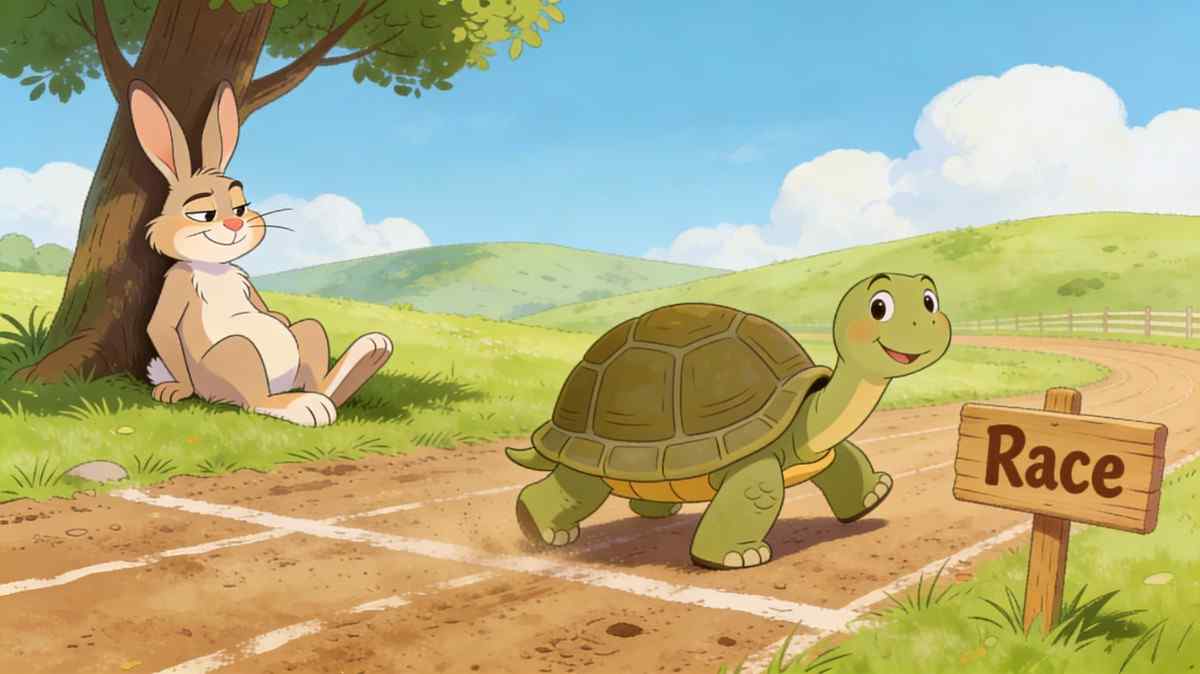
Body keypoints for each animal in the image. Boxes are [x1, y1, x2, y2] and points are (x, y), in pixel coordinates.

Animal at [132, 79, 393, 427]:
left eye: (241, 208)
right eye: (203, 214)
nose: (234, 223)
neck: (213, 266)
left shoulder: (245, 278)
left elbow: (269, 311)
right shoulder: (178, 280)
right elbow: (159, 327)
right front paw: (178, 388)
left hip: (304, 339)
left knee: (311, 338)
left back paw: (363, 358)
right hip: (234, 357)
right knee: (255, 400)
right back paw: (304, 405)